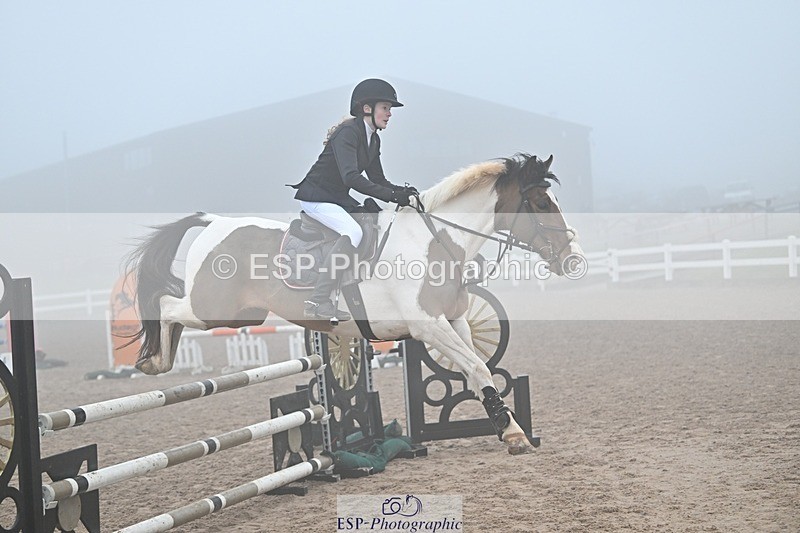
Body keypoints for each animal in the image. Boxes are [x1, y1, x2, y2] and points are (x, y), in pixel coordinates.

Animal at [126, 153, 582, 455]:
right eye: (542, 203)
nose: (571, 259)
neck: (434, 239)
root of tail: (213, 222)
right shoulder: (428, 326)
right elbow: (477, 368)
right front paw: (512, 433)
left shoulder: (453, 322)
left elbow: (477, 369)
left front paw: (509, 426)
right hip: (213, 308)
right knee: (166, 306)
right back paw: (153, 361)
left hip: (239, 314)